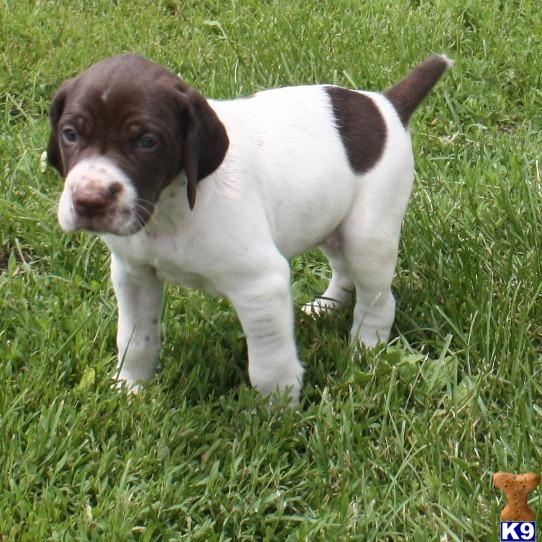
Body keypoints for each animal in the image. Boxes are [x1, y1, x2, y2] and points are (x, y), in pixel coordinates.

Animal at [49, 54, 452, 404]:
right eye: (70, 134)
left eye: (147, 141)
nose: (89, 201)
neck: (169, 208)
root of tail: (385, 104)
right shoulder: (134, 274)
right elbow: (136, 339)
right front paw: (130, 389)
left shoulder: (260, 285)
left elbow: (269, 366)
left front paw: (278, 415)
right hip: (329, 217)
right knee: (343, 270)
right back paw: (327, 306)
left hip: (368, 235)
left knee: (377, 300)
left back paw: (365, 349)